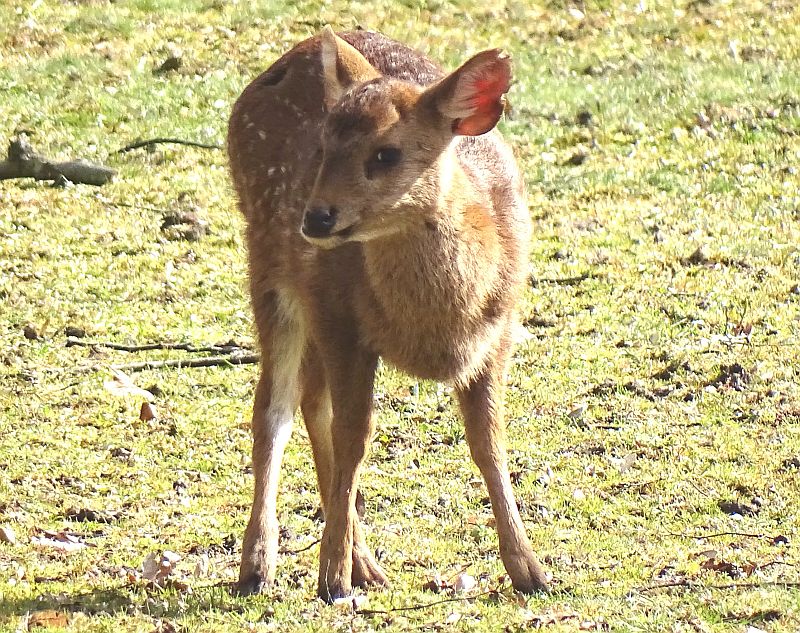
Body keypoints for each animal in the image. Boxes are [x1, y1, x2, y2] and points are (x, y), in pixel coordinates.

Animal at [228, 27, 548, 600]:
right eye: (322, 147)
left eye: (386, 153)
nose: (315, 218)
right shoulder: (343, 321)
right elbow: (353, 439)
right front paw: (330, 578)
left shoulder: (500, 331)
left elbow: (489, 444)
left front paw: (529, 569)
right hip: (270, 268)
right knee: (275, 410)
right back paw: (261, 565)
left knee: (309, 401)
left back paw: (364, 565)